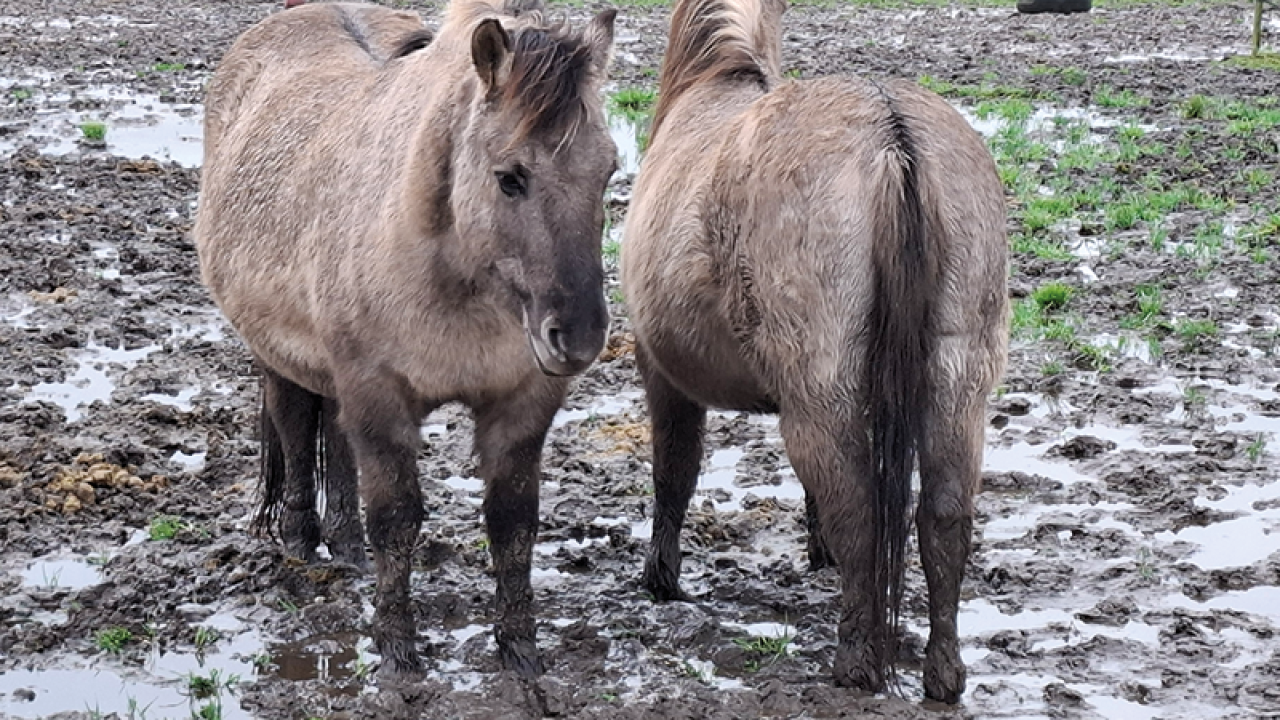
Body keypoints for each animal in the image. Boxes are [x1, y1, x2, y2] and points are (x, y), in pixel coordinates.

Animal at [194, 0, 618, 680]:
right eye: (510, 178)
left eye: (608, 171)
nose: (577, 337)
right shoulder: (380, 396)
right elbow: (395, 518)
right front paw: (398, 650)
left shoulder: (520, 403)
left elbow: (513, 523)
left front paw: (520, 649)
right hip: (278, 355)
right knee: (295, 423)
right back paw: (302, 542)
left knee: (334, 435)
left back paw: (344, 545)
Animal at [620, 0, 1009, 702]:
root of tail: (890, 132)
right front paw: (818, 552)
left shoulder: (660, 370)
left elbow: (674, 470)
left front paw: (661, 577)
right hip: (955, 387)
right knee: (944, 517)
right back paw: (943, 671)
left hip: (820, 391)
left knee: (858, 506)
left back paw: (856, 662)